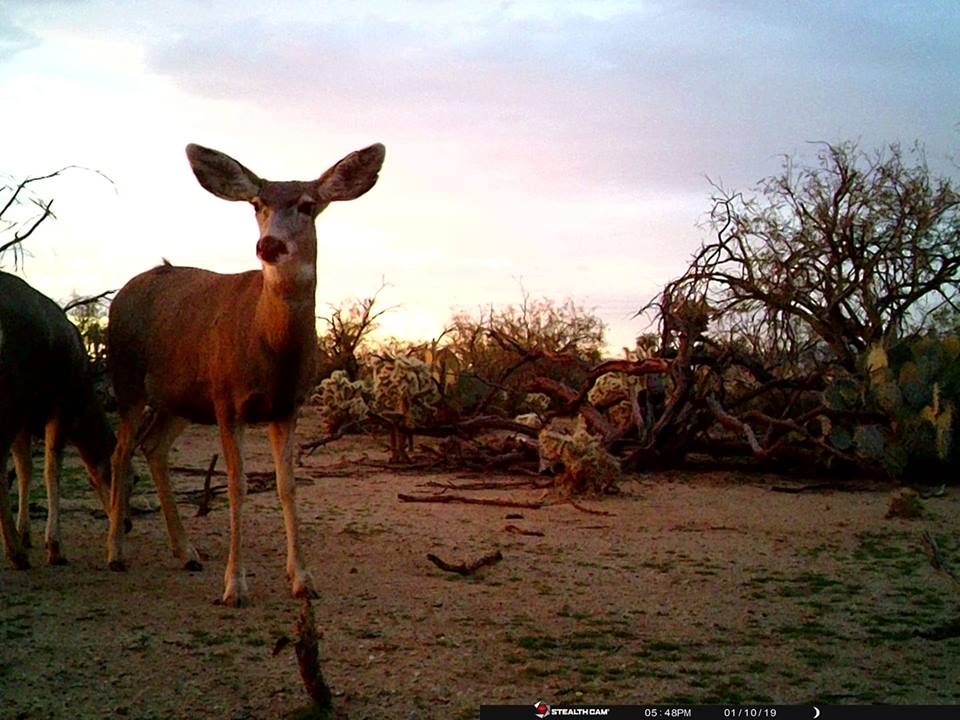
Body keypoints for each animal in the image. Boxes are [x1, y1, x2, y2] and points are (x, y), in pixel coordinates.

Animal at [0, 270, 115, 568]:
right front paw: (54, 547)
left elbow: (25, 469)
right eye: (132, 480)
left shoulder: (25, 420)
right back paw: (16, 554)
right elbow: (52, 468)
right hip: (10, 393)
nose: (127, 523)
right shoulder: (60, 405)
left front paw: (26, 533)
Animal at [107, 138, 384, 604]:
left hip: (179, 398)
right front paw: (235, 586)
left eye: (308, 205)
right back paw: (115, 553)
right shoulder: (227, 399)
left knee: (154, 446)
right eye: (258, 203)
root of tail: (122, 291)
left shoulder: (287, 406)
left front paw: (303, 579)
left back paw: (187, 552)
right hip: (126, 379)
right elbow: (237, 485)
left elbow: (287, 485)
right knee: (120, 449)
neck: (269, 348)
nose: (269, 245)